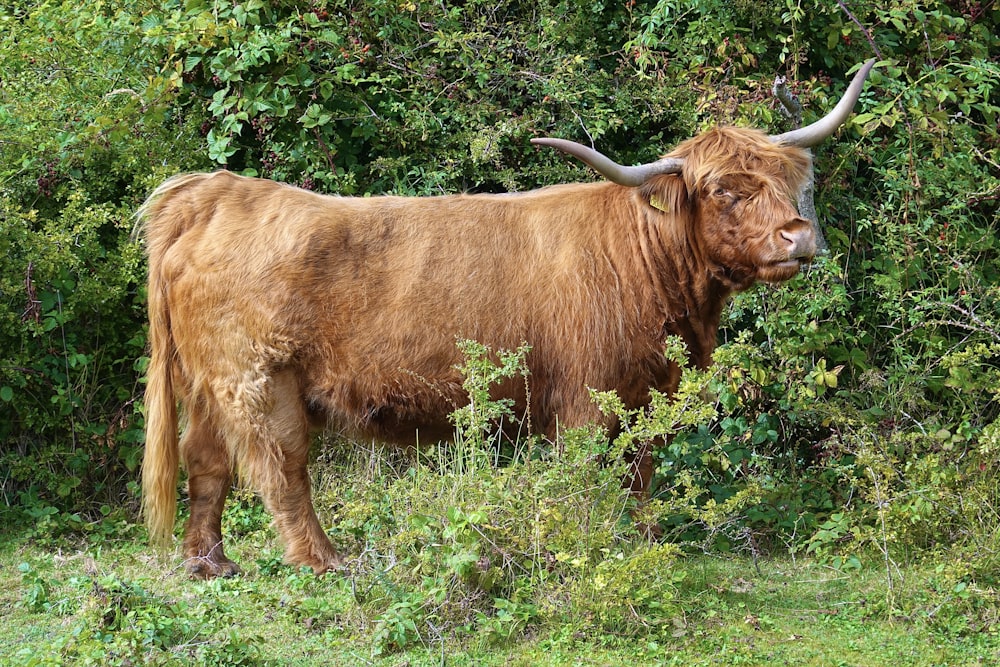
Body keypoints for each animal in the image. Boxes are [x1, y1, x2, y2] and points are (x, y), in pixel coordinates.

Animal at [137, 60, 872, 576]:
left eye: (785, 180)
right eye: (723, 190)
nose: (798, 236)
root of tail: (213, 193)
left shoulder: (647, 397)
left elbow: (640, 475)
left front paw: (642, 543)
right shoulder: (584, 397)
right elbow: (586, 476)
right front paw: (585, 548)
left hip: (209, 383)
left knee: (206, 461)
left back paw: (209, 563)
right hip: (259, 380)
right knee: (280, 470)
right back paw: (324, 561)